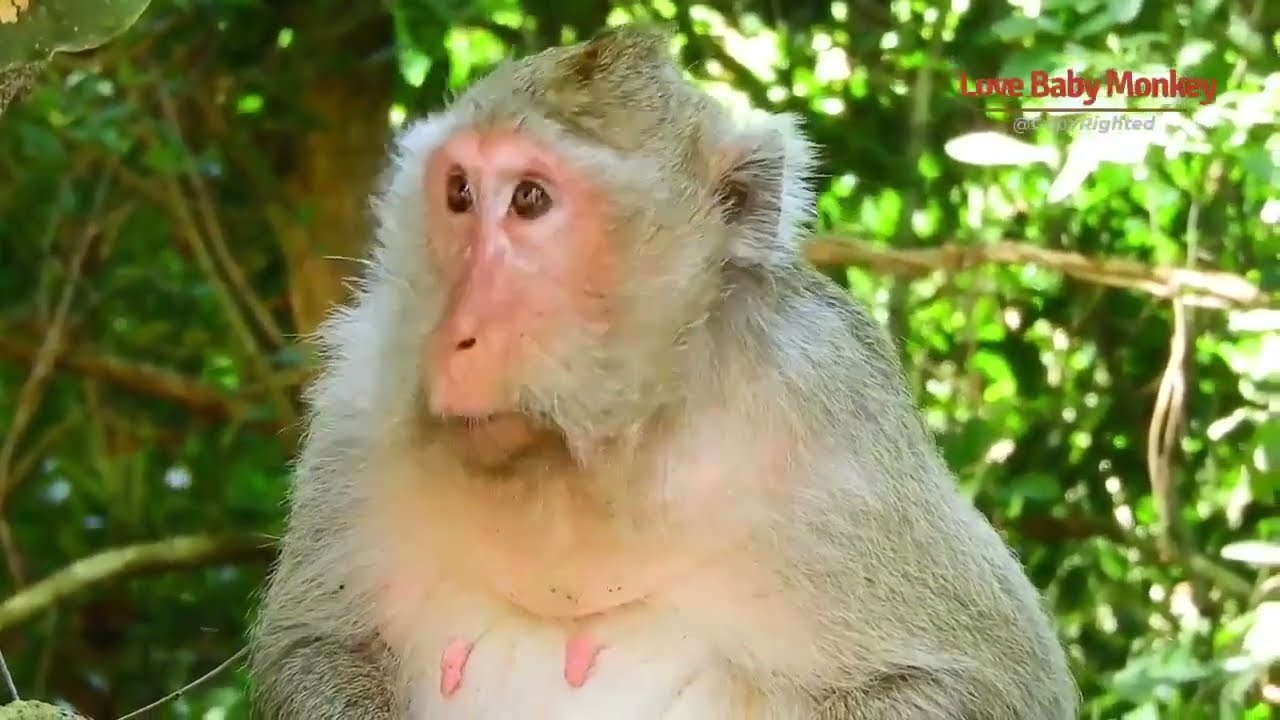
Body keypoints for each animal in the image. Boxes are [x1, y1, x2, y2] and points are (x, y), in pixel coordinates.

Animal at [247, 25, 1080, 720]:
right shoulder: (358, 402)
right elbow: (309, 648)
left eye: (529, 199)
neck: (579, 466)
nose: (456, 336)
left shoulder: (835, 409)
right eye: (458, 192)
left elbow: (986, 681)